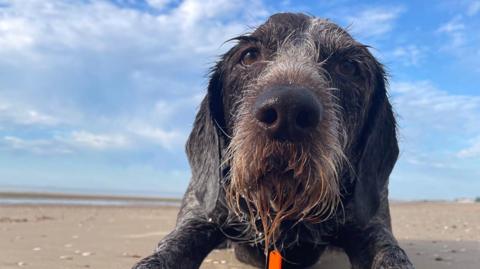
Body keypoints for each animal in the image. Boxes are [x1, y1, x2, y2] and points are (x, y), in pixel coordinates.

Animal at [133, 13, 414, 268]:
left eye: (348, 67)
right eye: (249, 56)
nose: (287, 111)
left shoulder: (370, 225)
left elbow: (389, 253)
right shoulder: (199, 216)